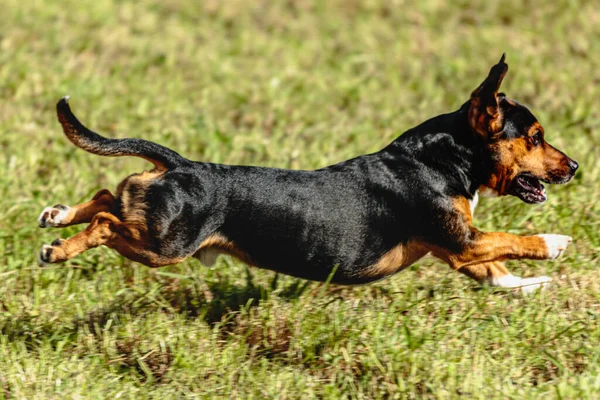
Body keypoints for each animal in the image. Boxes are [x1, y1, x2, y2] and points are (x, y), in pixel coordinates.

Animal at [36, 54, 576, 294]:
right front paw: (554, 243)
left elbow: (500, 273)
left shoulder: (460, 253)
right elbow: (512, 239)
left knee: (107, 195)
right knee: (106, 222)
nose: (573, 166)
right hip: (165, 244)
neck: (441, 159)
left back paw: (56, 215)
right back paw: (57, 249)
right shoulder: (464, 241)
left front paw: (534, 286)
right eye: (535, 137)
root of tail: (184, 164)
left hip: (154, 224)